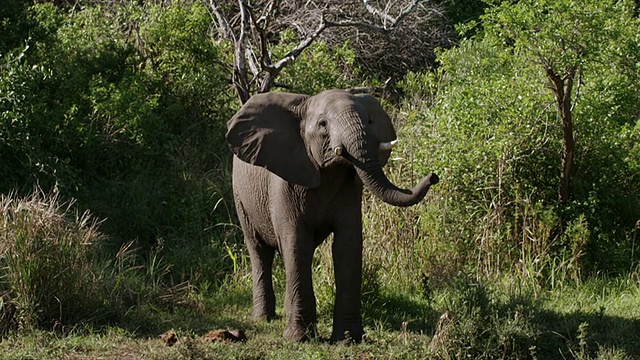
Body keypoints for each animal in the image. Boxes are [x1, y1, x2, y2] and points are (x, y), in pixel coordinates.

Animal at [226, 88, 440, 342]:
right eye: (323, 124)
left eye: (369, 121)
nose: (434, 176)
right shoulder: (285, 183)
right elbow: (296, 243)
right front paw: (298, 339)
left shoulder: (350, 188)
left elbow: (347, 245)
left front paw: (347, 339)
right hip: (240, 196)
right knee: (260, 251)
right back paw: (263, 319)